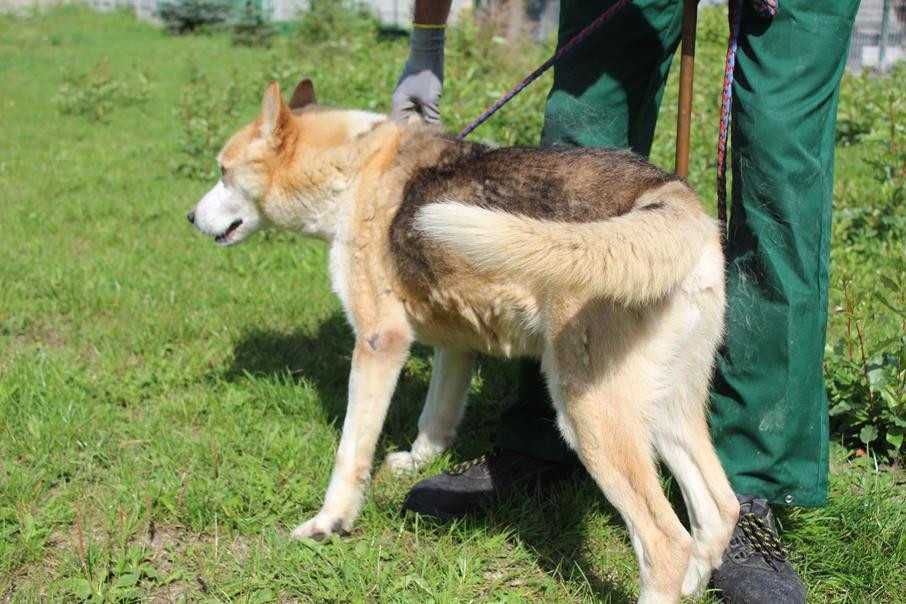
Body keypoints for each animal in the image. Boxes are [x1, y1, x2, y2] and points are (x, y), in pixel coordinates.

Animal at [187, 78, 740, 600]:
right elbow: (435, 417)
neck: (354, 166)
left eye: (223, 171)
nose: (190, 218)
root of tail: (669, 197)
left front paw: (330, 523)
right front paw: (416, 462)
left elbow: (350, 456)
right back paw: (695, 584)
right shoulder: (455, 343)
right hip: (665, 410)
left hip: (590, 415)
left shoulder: (379, 342)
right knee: (719, 509)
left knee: (666, 541)